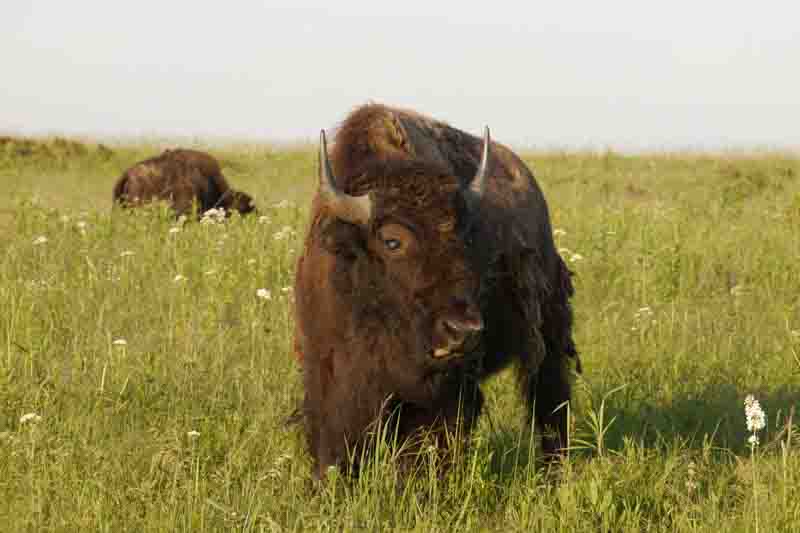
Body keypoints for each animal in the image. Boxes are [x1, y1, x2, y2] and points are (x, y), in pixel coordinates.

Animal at [293, 104, 580, 479]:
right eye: (392, 241)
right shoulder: (328, 372)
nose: (463, 331)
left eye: (466, 240)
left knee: (549, 402)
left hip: (549, 335)